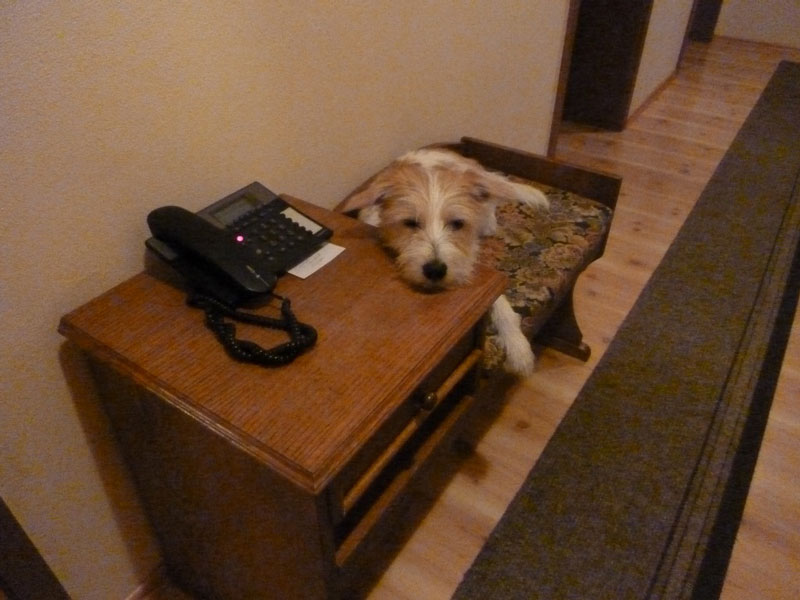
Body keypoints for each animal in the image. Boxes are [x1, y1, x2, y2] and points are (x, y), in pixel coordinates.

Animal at [344, 147, 549, 376]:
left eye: (457, 223)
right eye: (410, 223)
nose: (435, 270)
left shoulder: (469, 263)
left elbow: (501, 304)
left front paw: (518, 347)